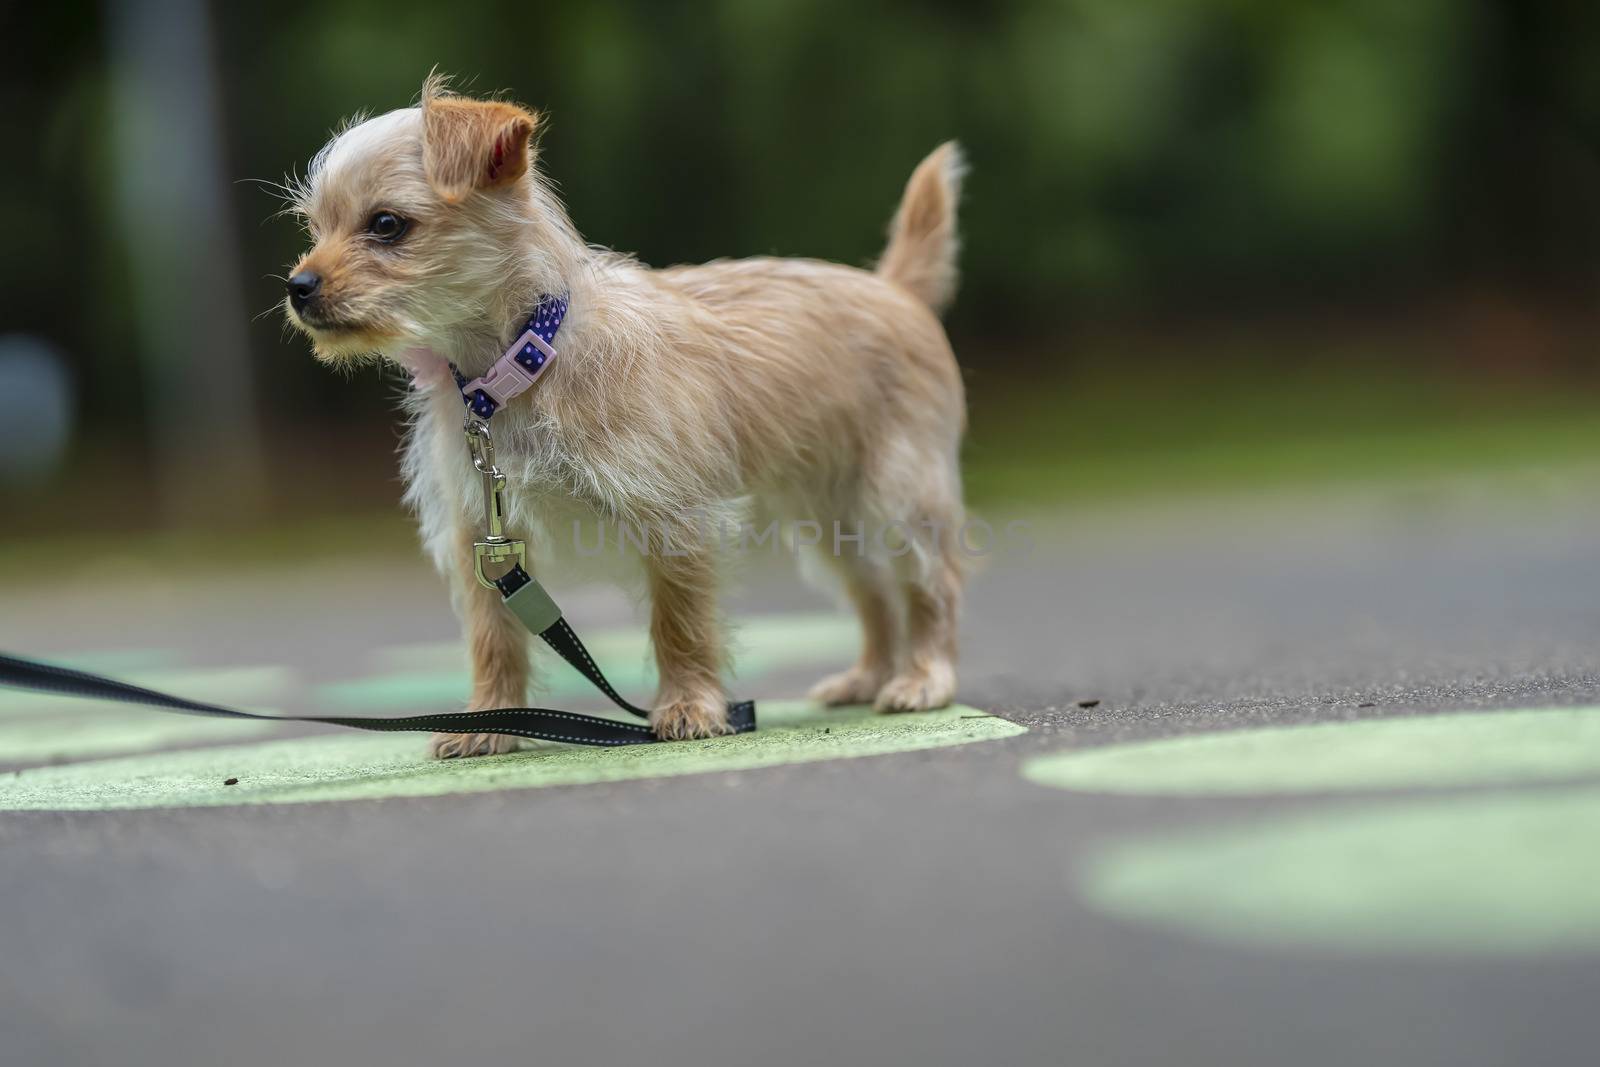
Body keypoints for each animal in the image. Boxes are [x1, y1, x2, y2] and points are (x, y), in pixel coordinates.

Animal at [281, 75, 966, 755]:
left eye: (387, 225)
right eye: (315, 227)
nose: (298, 287)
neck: (522, 363)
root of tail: (893, 287)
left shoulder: (674, 518)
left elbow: (679, 623)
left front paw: (688, 706)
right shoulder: (483, 531)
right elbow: (492, 634)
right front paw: (491, 719)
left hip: (899, 496)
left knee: (929, 585)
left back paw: (923, 679)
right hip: (829, 518)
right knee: (873, 590)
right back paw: (869, 676)